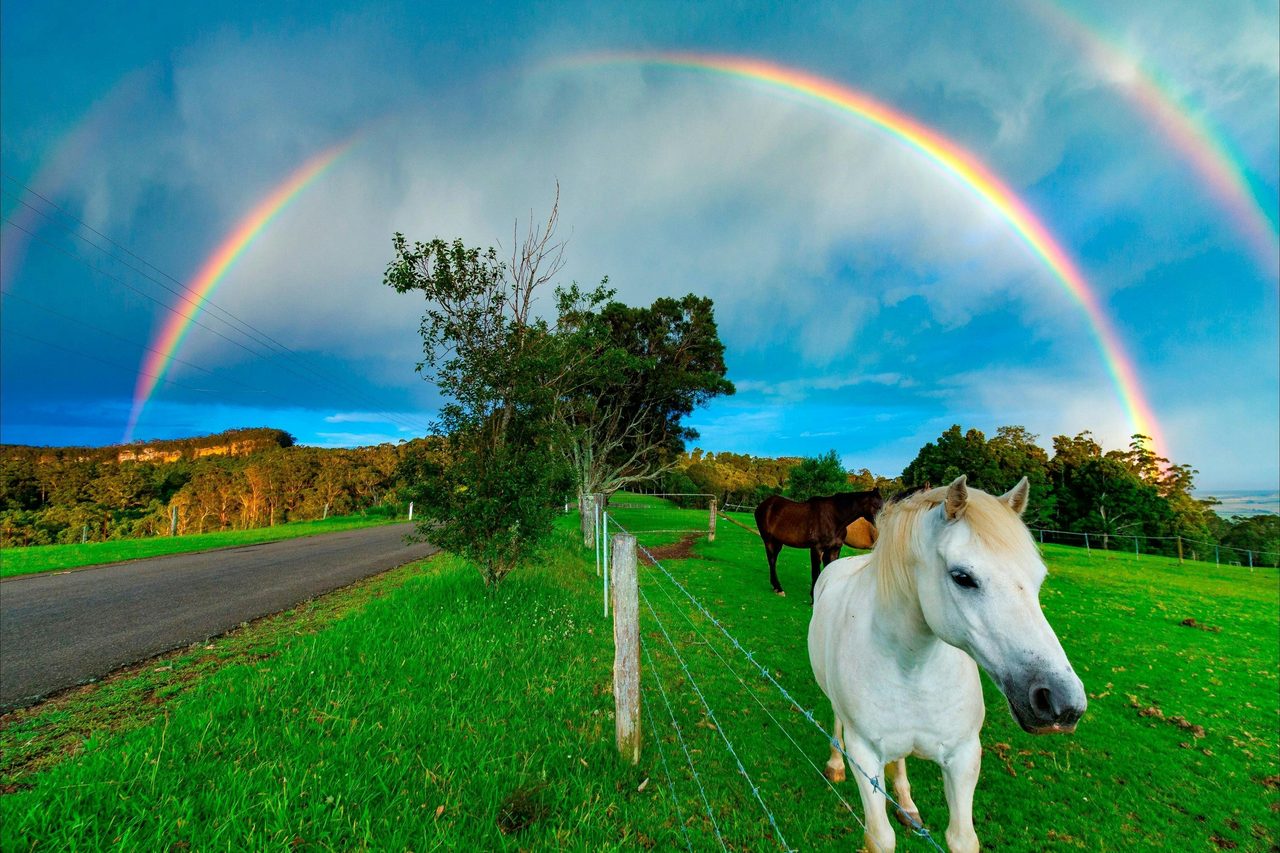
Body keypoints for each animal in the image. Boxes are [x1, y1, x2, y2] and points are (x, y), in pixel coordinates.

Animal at [754, 489, 883, 600]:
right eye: (876, 505)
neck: (834, 518)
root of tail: (763, 505)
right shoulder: (816, 548)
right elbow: (815, 572)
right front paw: (813, 598)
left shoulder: (834, 549)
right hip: (769, 541)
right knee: (772, 561)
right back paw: (779, 588)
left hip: (778, 542)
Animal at [808, 476, 1085, 852]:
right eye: (962, 577)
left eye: (1038, 579)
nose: (1061, 701)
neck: (913, 665)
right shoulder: (865, 756)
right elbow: (880, 836)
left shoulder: (964, 756)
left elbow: (962, 838)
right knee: (837, 722)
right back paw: (835, 764)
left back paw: (907, 806)